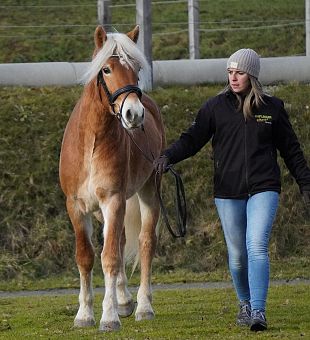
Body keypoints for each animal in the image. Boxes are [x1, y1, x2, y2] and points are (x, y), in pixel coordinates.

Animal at [60, 24, 166, 332]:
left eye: (137, 68)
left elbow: (109, 258)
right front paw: (84, 314)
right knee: (119, 240)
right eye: (106, 69)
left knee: (144, 243)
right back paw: (124, 301)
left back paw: (142, 306)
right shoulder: (77, 206)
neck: (91, 144)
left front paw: (108, 317)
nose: (133, 113)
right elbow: (86, 257)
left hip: (148, 192)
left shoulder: (114, 200)